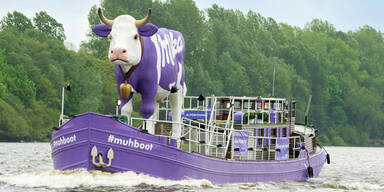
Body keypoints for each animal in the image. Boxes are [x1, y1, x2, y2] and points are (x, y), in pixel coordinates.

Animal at [92, 9, 187, 139]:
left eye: (136, 36)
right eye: (110, 36)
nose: (117, 52)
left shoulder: (149, 87)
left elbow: (146, 111)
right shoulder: (121, 87)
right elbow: (125, 110)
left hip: (177, 89)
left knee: (176, 114)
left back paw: (175, 139)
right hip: (157, 95)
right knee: (155, 114)